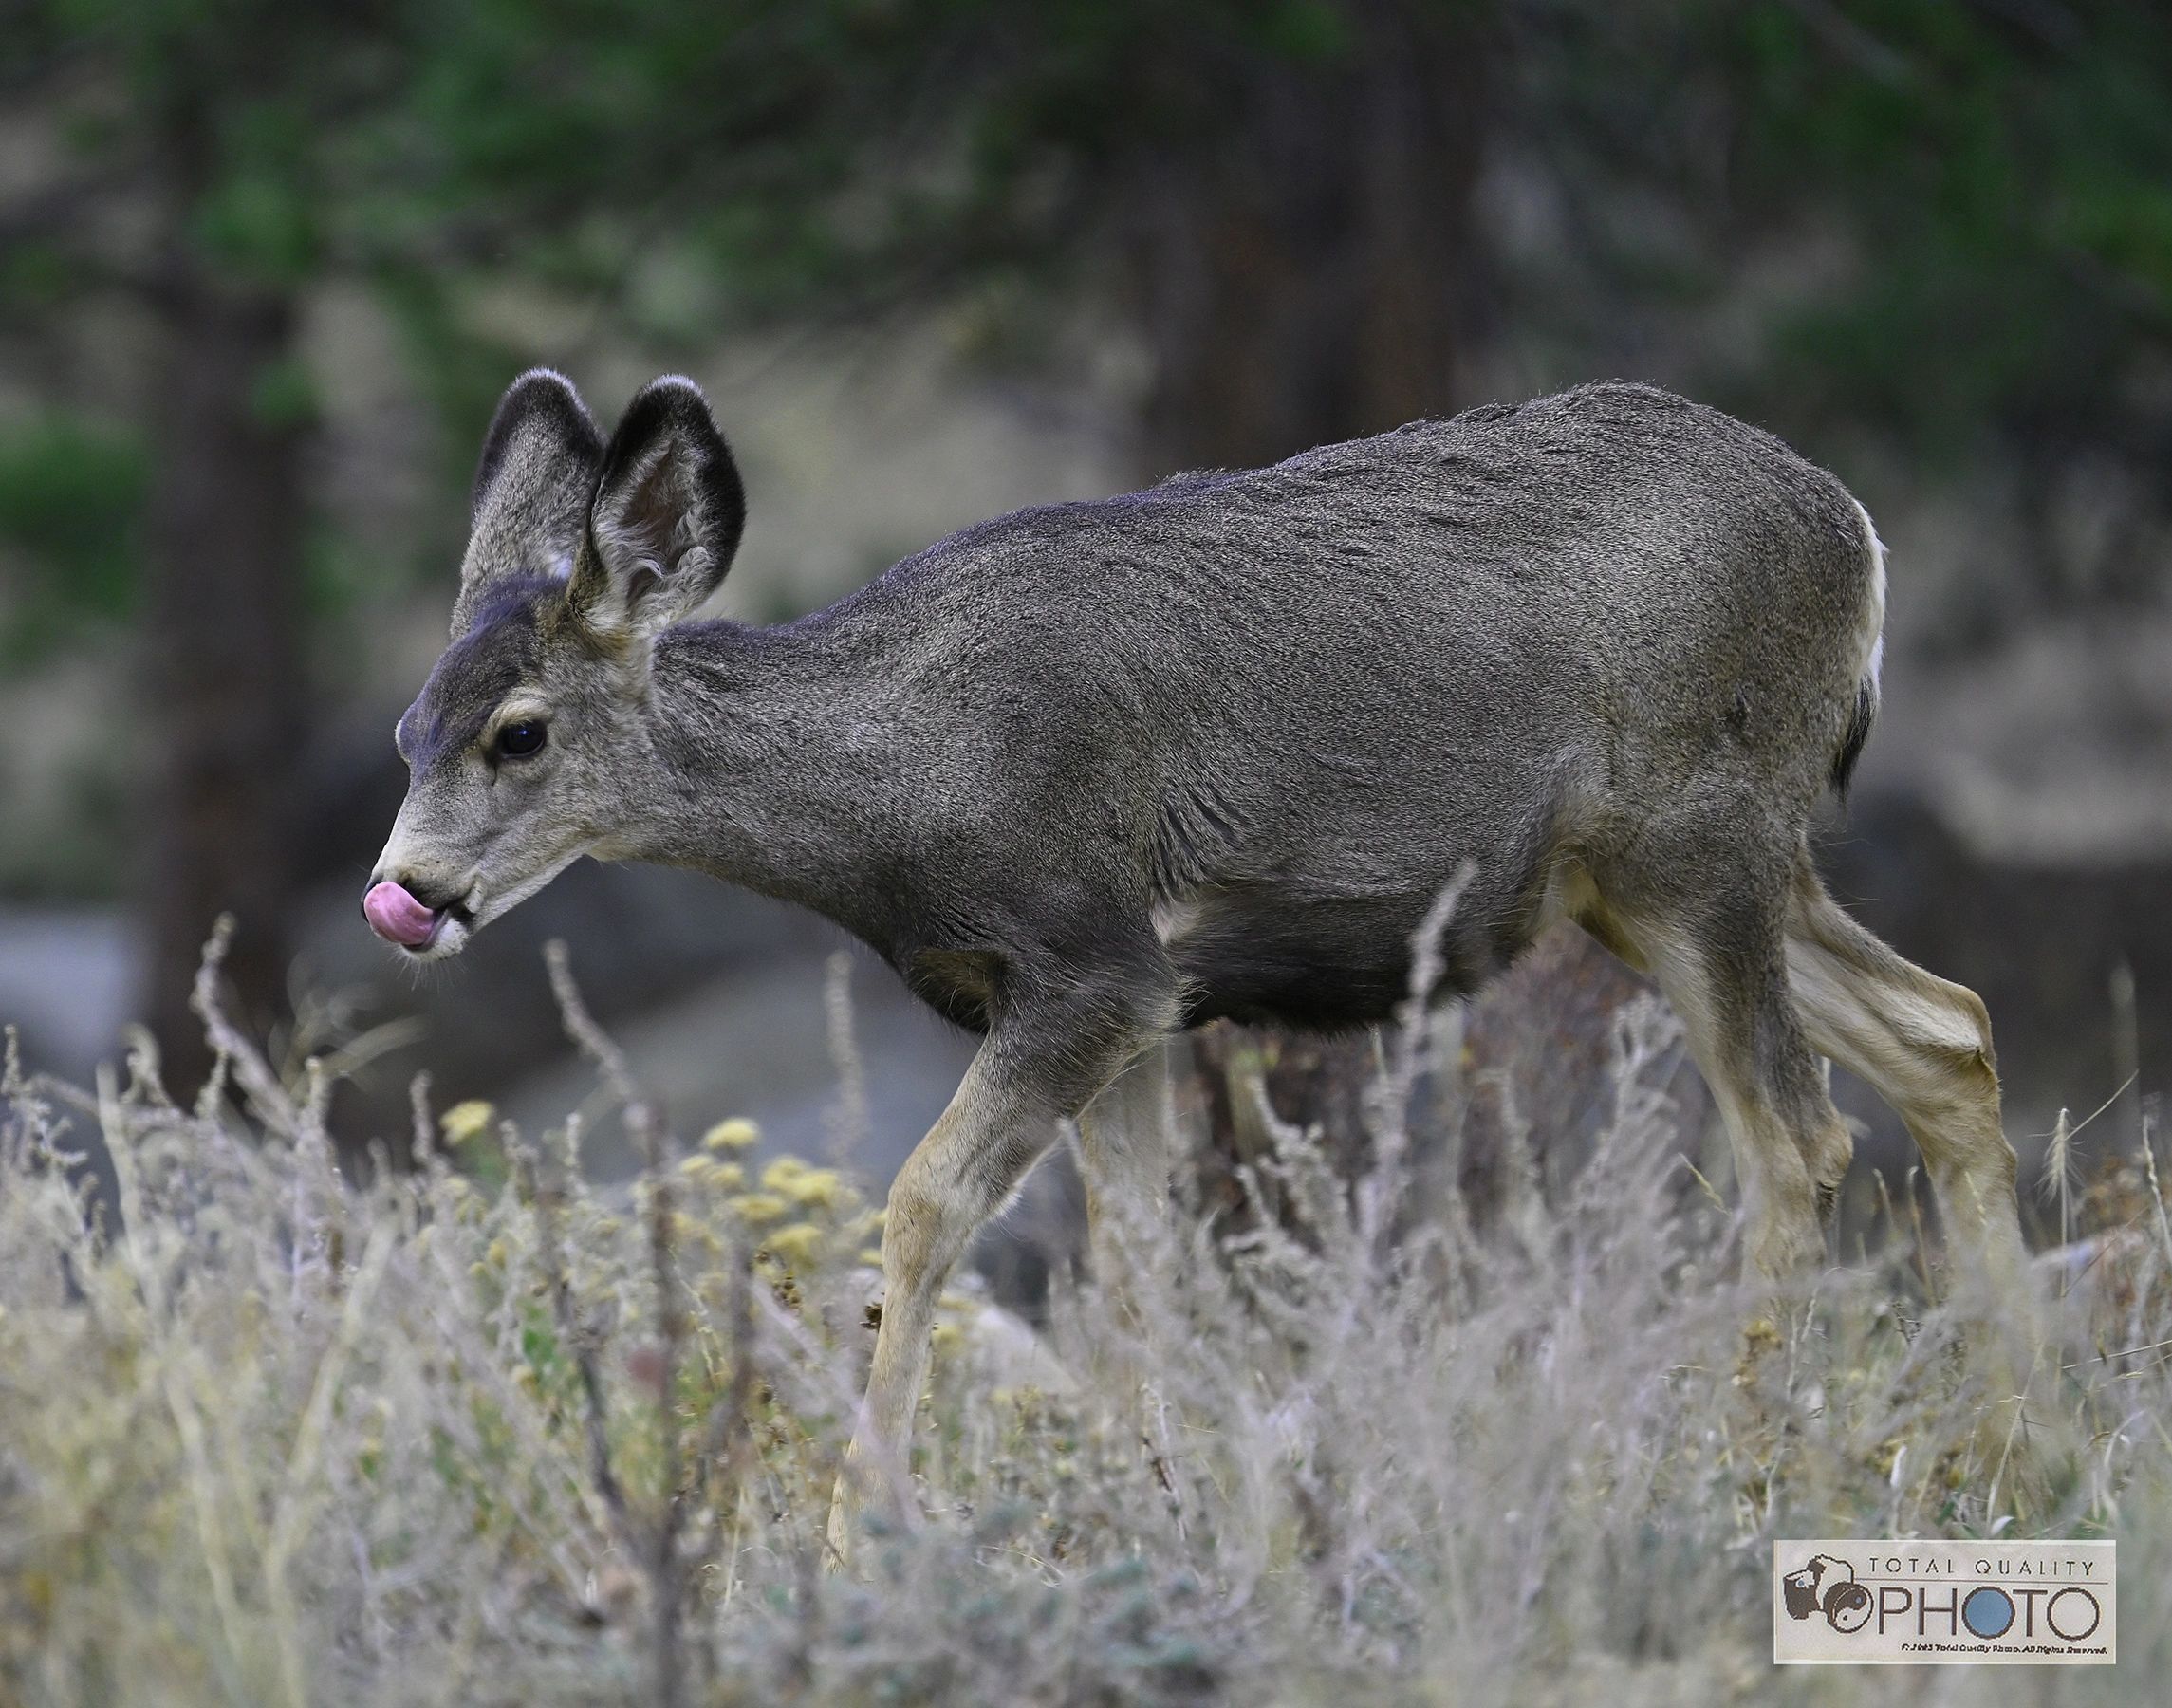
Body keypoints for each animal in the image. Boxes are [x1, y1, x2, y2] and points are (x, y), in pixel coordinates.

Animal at [366, 369, 2035, 1556]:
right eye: (406, 730)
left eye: (520, 733)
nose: (407, 894)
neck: (900, 790)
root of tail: (1859, 534)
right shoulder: (1145, 1010)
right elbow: (1142, 1263)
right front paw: (1159, 1503)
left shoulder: (1088, 964)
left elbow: (922, 1208)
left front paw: (861, 1531)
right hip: (1657, 880)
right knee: (1947, 1027)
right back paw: (2011, 1443)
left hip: (1697, 839)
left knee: (1799, 1137)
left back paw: (1746, 1470)